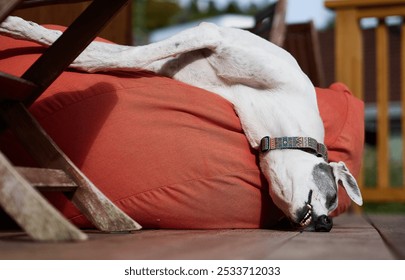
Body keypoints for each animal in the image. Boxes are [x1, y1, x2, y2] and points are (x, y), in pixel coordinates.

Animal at [0, 17, 362, 232]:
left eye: (334, 207)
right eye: (332, 195)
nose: (326, 224)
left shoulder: (175, 63)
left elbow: (115, 54)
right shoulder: (207, 33)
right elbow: (121, 56)